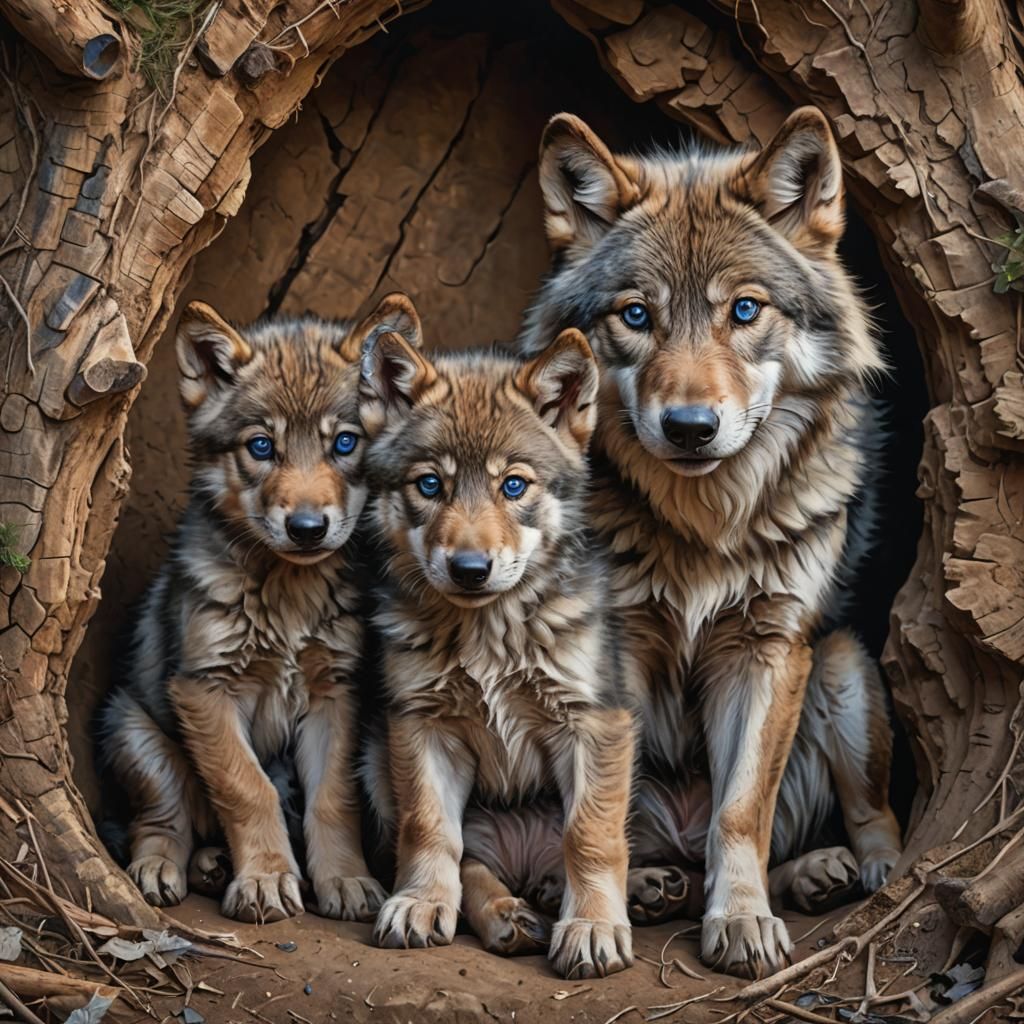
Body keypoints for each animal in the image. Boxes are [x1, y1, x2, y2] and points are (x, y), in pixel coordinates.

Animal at [97, 294, 420, 924]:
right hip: (134, 732)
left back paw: (213, 863)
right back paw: (161, 868)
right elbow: (246, 788)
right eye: (262, 446)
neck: (289, 595)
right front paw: (267, 879)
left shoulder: (335, 694)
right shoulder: (204, 689)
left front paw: (345, 879)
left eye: (344, 444)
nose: (307, 528)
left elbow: (332, 800)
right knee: (164, 819)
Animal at [358, 311, 637, 979]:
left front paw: (593, 926)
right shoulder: (420, 724)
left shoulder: (595, 722)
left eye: (513, 486)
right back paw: (508, 915)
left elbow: (591, 834)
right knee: (474, 860)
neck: (490, 634)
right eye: (429, 485)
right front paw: (420, 902)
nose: (469, 569)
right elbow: (431, 830)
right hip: (376, 761)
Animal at [500, 107, 904, 977]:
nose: (690, 427)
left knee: (864, 814)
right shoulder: (603, 657)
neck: (705, 528)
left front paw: (743, 922)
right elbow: (594, 823)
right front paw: (592, 925)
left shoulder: (768, 647)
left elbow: (742, 812)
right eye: (636, 315)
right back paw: (647, 886)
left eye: (744, 311)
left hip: (841, 666)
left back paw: (851, 874)